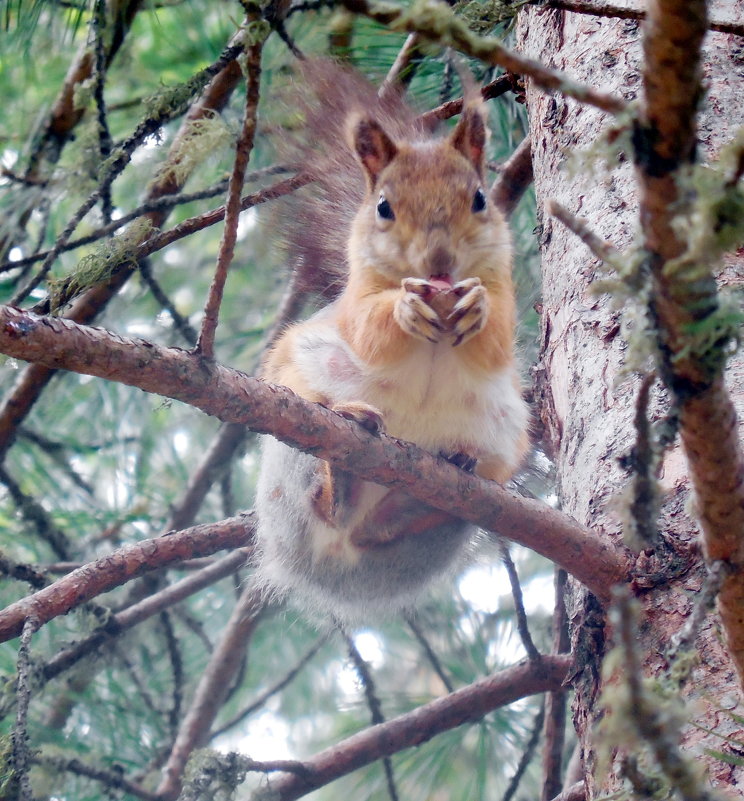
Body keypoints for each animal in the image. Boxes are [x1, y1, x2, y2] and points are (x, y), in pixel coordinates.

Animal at [256, 64, 528, 624]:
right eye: (383, 206)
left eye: (480, 199)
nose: (439, 261)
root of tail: (326, 569)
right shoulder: (355, 300)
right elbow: (368, 327)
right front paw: (402, 310)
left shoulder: (503, 288)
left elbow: (495, 340)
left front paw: (477, 309)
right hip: (299, 420)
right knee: (322, 500)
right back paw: (342, 467)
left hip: (499, 444)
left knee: (376, 529)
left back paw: (431, 488)